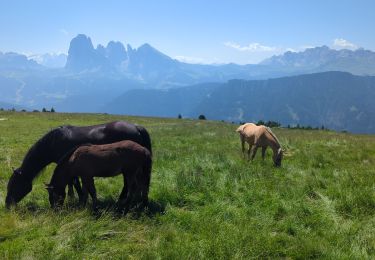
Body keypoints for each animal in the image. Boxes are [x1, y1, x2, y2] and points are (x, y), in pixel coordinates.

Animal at [5, 121, 152, 208]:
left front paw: (80, 198)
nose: (7, 205)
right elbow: (72, 183)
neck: (54, 142)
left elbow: (75, 183)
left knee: (128, 184)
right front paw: (73, 197)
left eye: (14, 185)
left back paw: (121, 201)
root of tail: (137, 127)